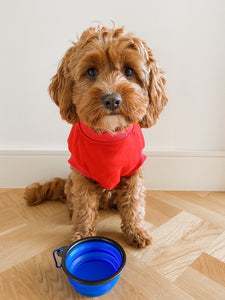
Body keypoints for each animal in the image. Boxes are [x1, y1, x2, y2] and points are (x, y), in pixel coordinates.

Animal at [24, 25, 167, 248]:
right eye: (91, 71)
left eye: (129, 71)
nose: (112, 100)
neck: (108, 135)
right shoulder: (81, 175)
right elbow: (84, 208)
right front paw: (82, 235)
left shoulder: (134, 172)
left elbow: (134, 203)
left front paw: (136, 231)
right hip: (72, 181)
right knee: (74, 200)